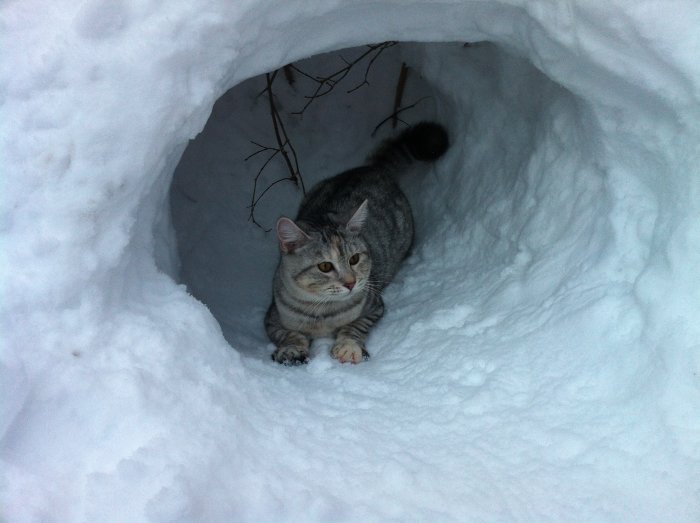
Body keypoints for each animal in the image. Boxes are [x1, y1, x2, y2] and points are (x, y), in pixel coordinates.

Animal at [262, 122, 448, 364]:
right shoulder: (272, 318)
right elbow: (289, 334)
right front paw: (292, 349)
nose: (351, 283)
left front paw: (348, 346)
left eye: (355, 259)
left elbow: (355, 326)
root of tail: (372, 169)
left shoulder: (374, 306)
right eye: (325, 266)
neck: (322, 311)